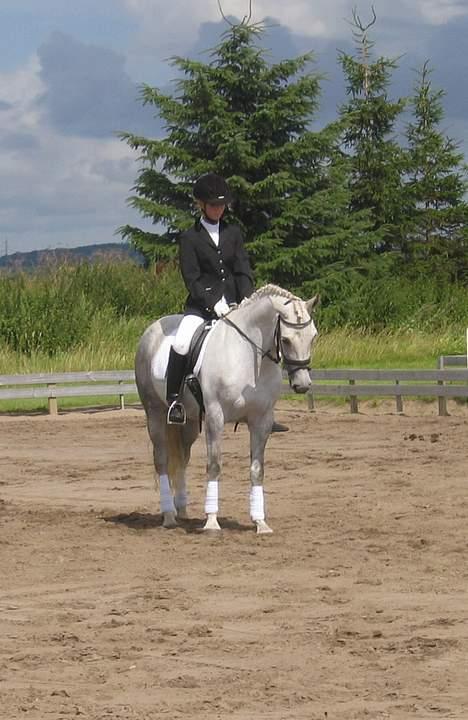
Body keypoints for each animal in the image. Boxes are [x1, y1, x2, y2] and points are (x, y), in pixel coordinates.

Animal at [133, 284, 320, 532]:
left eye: (313, 337)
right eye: (286, 340)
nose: (302, 385)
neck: (249, 358)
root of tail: (152, 329)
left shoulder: (262, 421)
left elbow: (257, 469)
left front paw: (260, 522)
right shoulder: (215, 416)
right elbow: (214, 465)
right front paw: (212, 521)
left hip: (189, 423)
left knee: (182, 458)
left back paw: (181, 510)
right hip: (154, 413)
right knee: (161, 460)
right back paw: (169, 515)